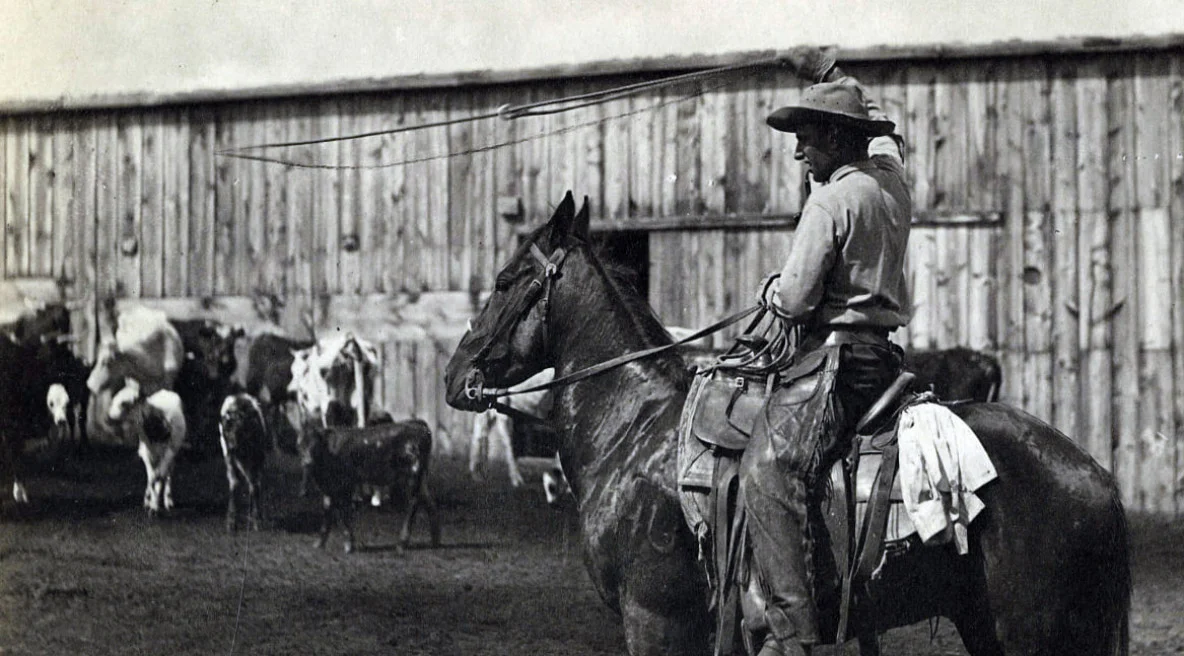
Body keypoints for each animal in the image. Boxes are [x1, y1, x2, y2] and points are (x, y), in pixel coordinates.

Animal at [298, 416, 442, 549]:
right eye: (300, 444)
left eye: (314, 445)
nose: (307, 462)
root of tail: (419, 425)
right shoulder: (329, 486)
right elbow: (327, 509)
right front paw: (319, 544)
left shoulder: (345, 483)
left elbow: (343, 510)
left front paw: (349, 544)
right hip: (421, 477)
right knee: (429, 501)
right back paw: (435, 541)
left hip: (412, 474)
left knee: (413, 503)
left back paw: (402, 543)